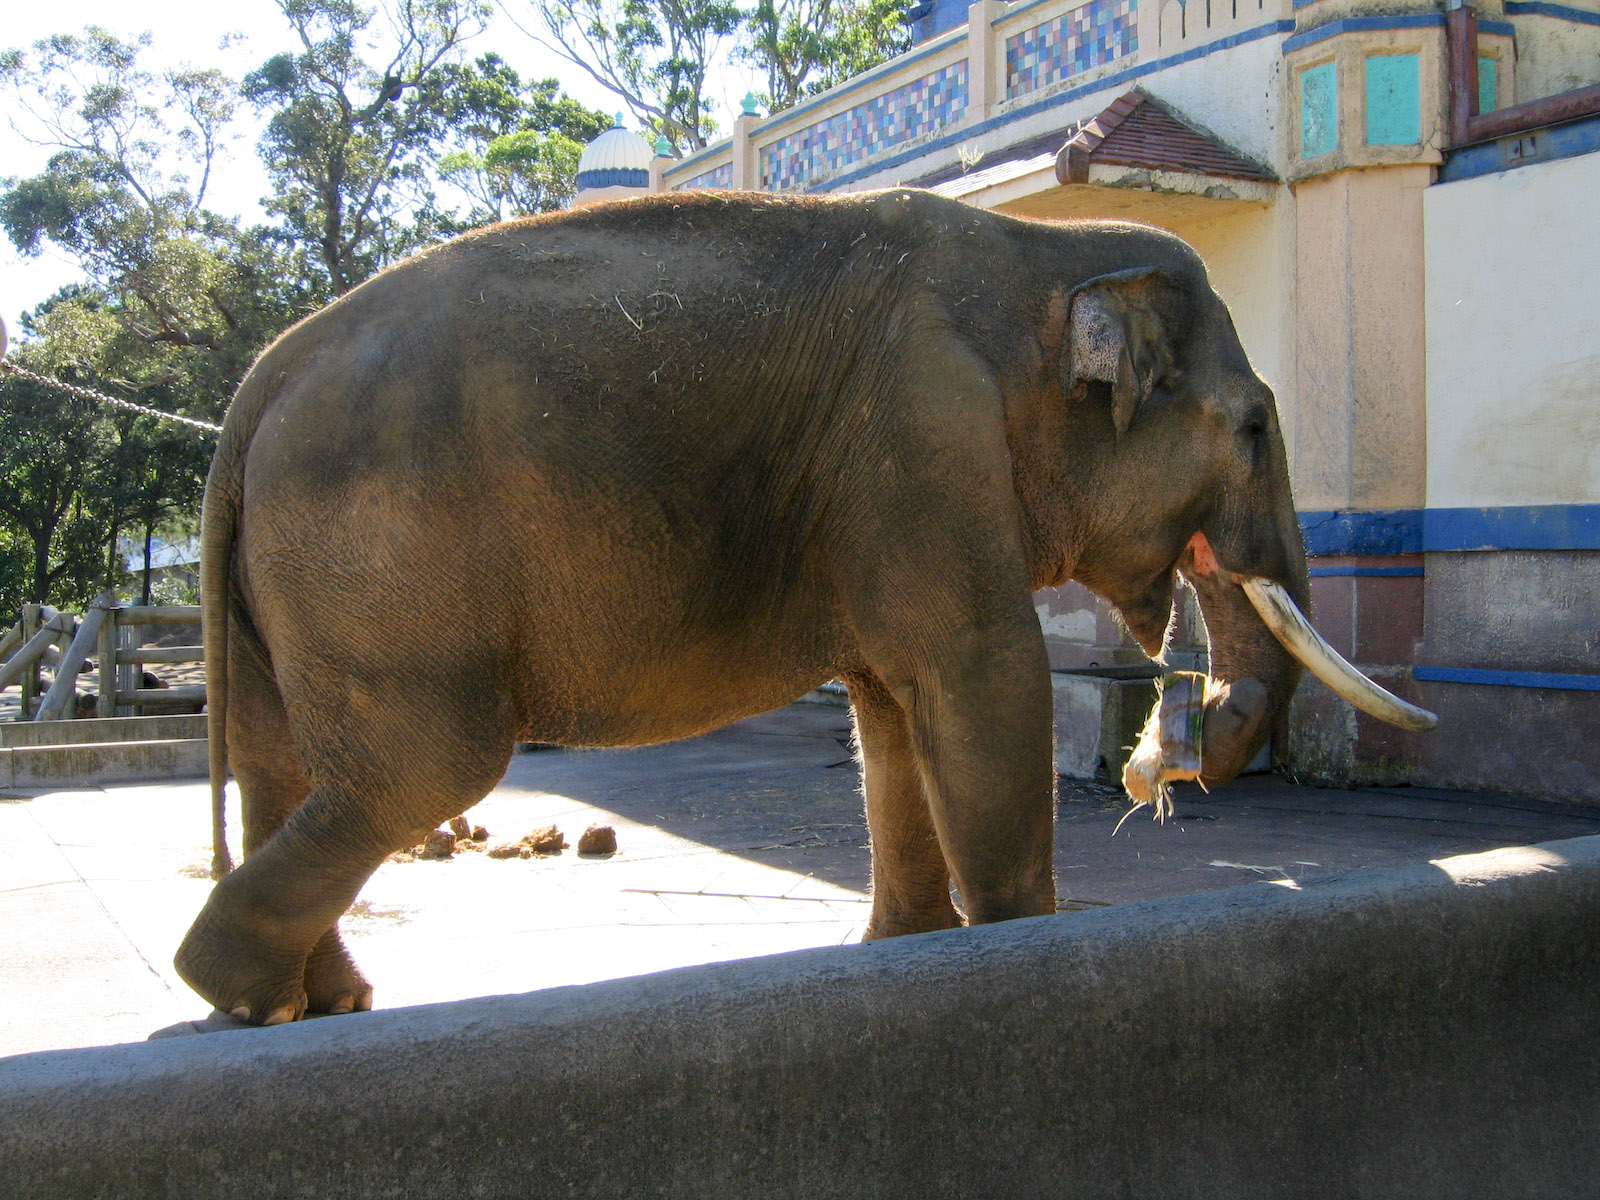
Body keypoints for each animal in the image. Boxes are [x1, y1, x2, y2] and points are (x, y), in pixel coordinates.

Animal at [175, 189, 1432, 1024]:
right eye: (1256, 427)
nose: (1155, 767)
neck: (1042, 252)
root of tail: (252, 392)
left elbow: (889, 709)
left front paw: (908, 948)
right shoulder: (923, 433)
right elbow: (982, 676)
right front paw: (1021, 944)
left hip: (295, 587)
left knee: (290, 769)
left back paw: (321, 1004)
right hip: (380, 564)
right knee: (425, 766)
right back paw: (244, 994)